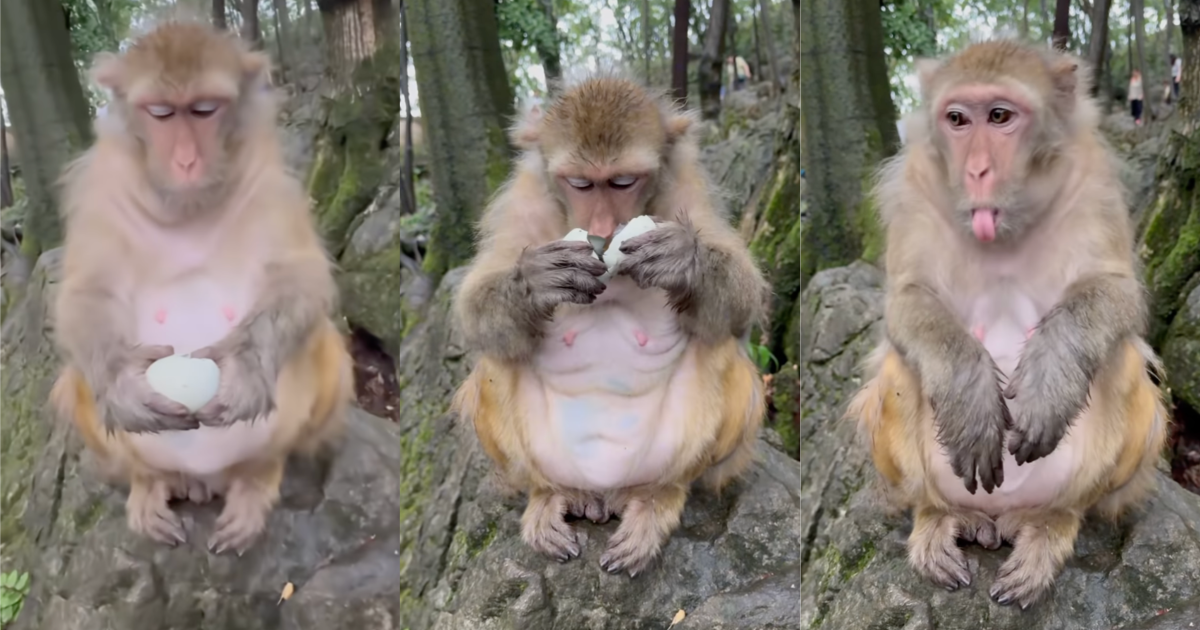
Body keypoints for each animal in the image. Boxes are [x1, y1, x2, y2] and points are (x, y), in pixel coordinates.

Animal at [46, 20, 355, 554]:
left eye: (205, 109)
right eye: (162, 113)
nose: (187, 160)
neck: (186, 208)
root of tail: (208, 477)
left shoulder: (270, 185)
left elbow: (301, 276)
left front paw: (246, 366)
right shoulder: (101, 190)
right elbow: (86, 295)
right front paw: (124, 382)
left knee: (323, 347)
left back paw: (257, 478)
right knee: (78, 380)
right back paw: (150, 482)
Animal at [450, 74, 770, 577]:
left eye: (622, 182)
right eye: (581, 184)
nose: (601, 224)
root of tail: (605, 494)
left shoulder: (686, 185)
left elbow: (741, 303)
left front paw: (685, 260)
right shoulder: (525, 196)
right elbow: (475, 310)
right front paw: (536, 280)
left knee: (720, 346)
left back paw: (658, 501)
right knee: (498, 356)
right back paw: (549, 496)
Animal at [845, 40, 1170, 609]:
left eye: (1000, 116)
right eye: (957, 119)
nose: (977, 171)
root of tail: (1000, 518)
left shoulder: (1093, 182)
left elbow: (1117, 291)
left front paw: (1050, 380)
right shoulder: (915, 187)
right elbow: (906, 300)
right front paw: (969, 397)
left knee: (1122, 358)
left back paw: (1049, 527)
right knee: (901, 370)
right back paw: (941, 516)